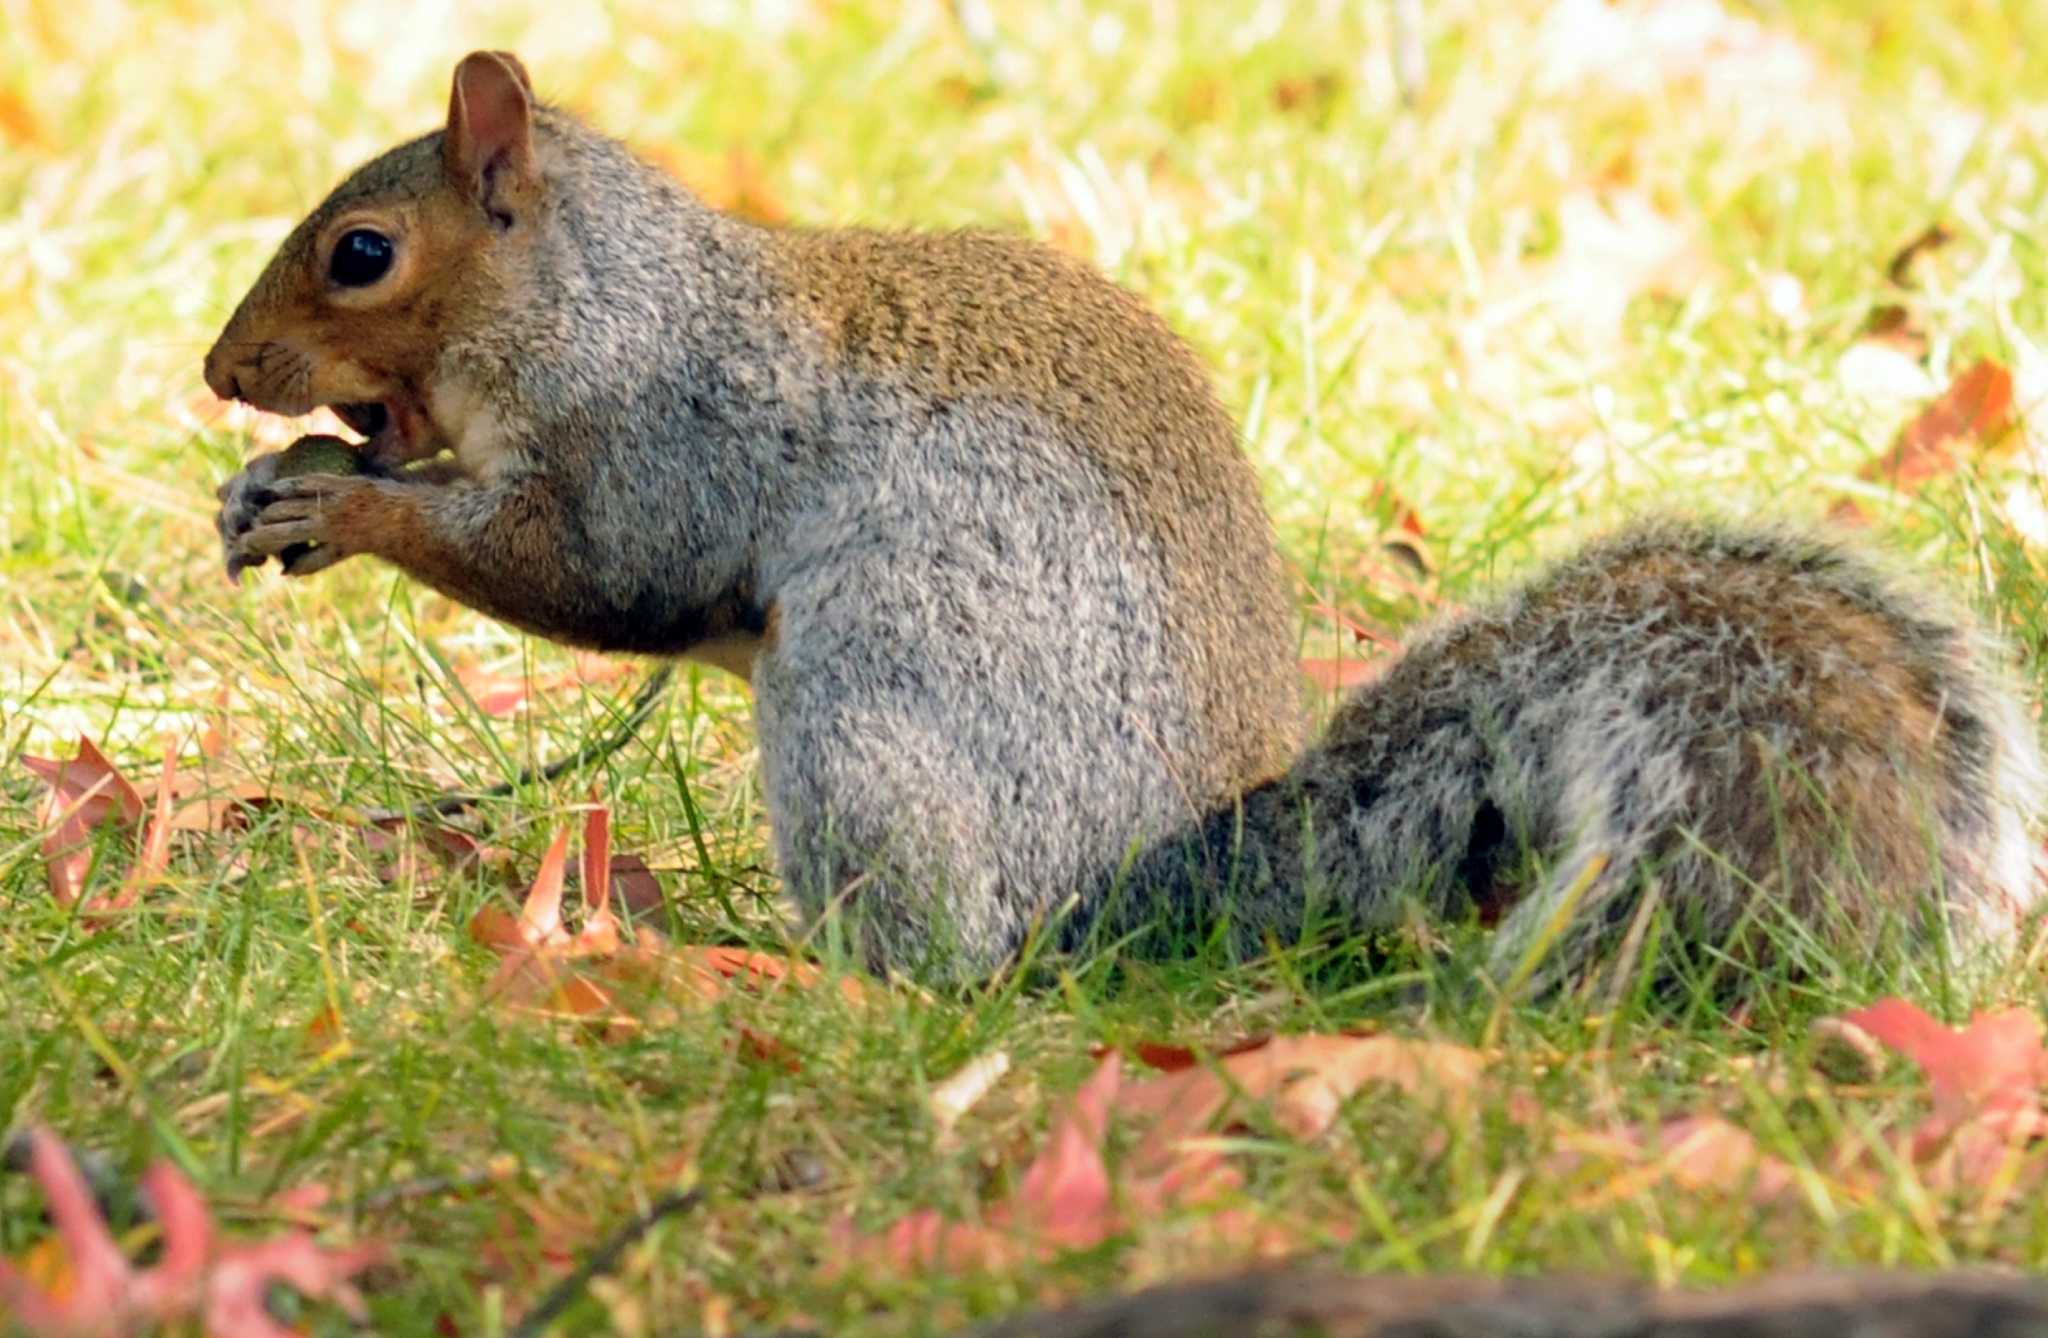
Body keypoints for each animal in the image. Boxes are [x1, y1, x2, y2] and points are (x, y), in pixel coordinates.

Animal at [199, 52, 2039, 987]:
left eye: (362, 253)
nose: (224, 372)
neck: (605, 300)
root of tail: (1140, 893)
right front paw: (275, 490)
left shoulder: (667, 438)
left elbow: (593, 573)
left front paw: (343, 501)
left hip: (869, 727)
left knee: (943, 962)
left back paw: (810, 978)